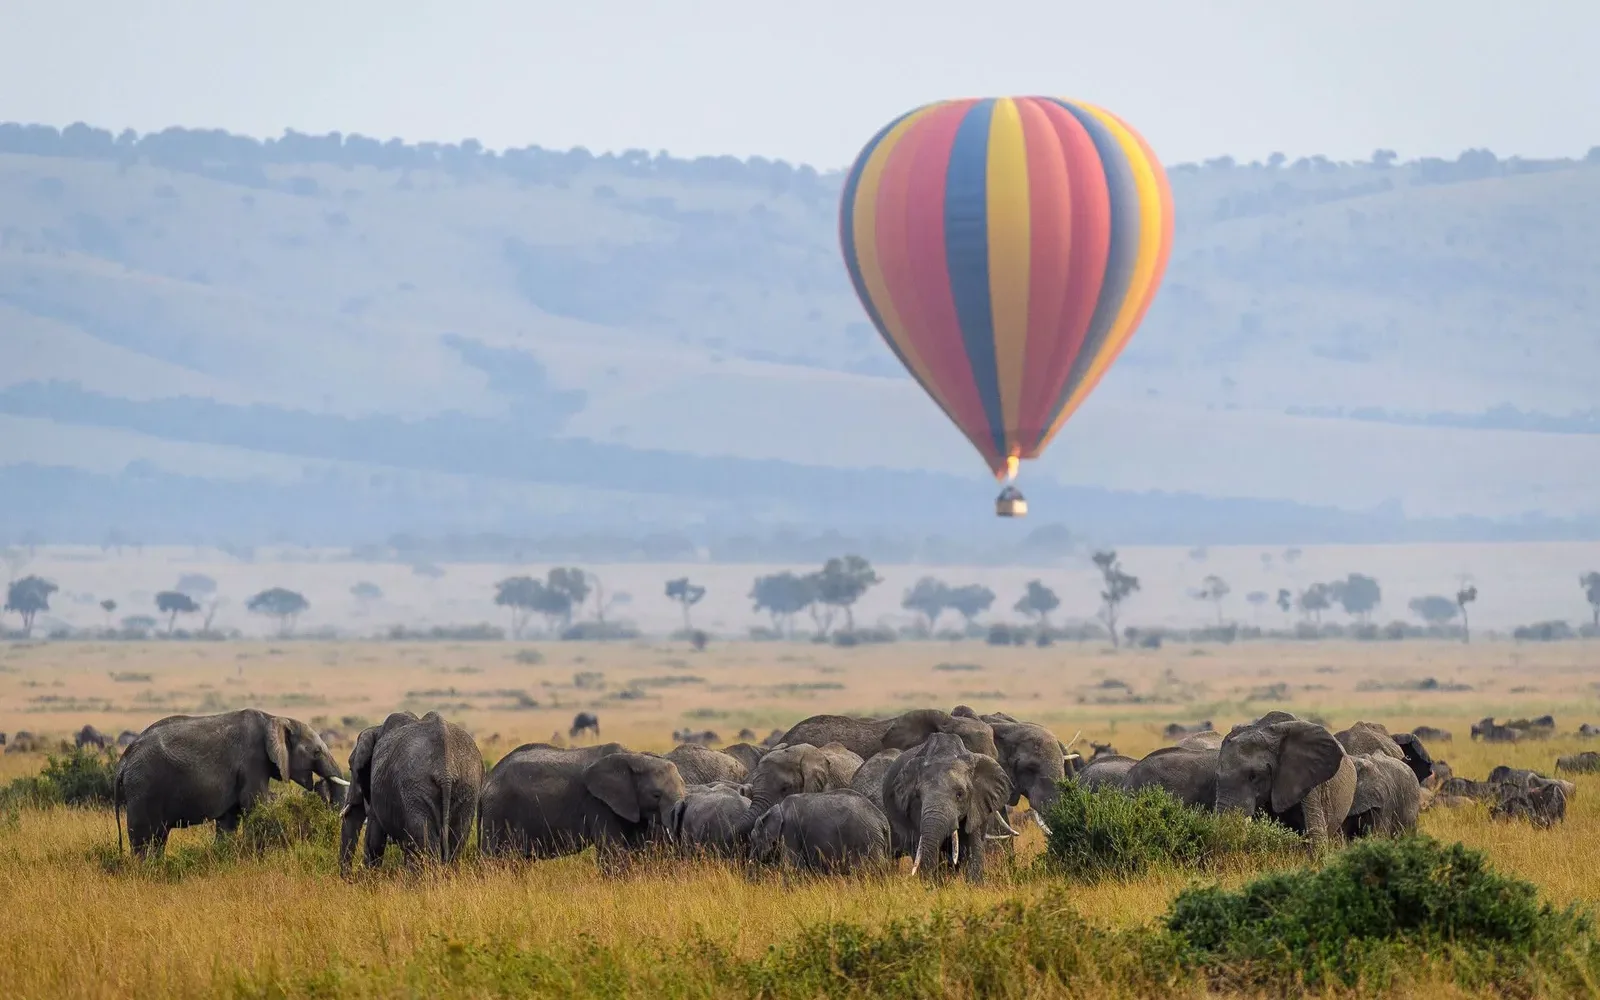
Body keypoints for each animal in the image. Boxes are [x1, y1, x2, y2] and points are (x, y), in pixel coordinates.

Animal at [114, 709, 347, 858]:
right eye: (316, 752)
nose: (320, 784)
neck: (274, 718)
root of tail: (124, 761)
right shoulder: (252, 761)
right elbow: (255, 805)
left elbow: (229, 819)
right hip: (143, 787)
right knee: (143, 837)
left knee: (159, 836)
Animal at [338, 711, 484, 875]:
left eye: (351, 768)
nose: (349, 876)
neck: (377, 728)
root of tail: (445, 771)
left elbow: (374, 839)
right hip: (467, 786)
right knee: (455, 842)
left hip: (415, 789)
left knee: (423, 846)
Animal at [478, 745, 685, 859]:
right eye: (656, 795)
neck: (635, 757)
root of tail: (487, 782)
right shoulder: (599, 803)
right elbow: (613, 850)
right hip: (498, 811)